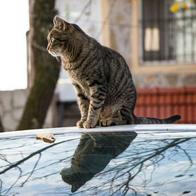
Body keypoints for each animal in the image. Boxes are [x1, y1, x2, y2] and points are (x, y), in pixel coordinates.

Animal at [47, 16, 181, 128]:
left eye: (52, 39)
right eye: (49, 40)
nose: (47, 48)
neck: (69, 60)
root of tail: (133, 113)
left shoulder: (97, 84)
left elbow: (94, 106)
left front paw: (90, 122)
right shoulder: (78, 87)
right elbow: (83, 106)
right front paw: (83, 120)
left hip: (123, 104)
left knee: (125, 120)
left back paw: (108, 120)